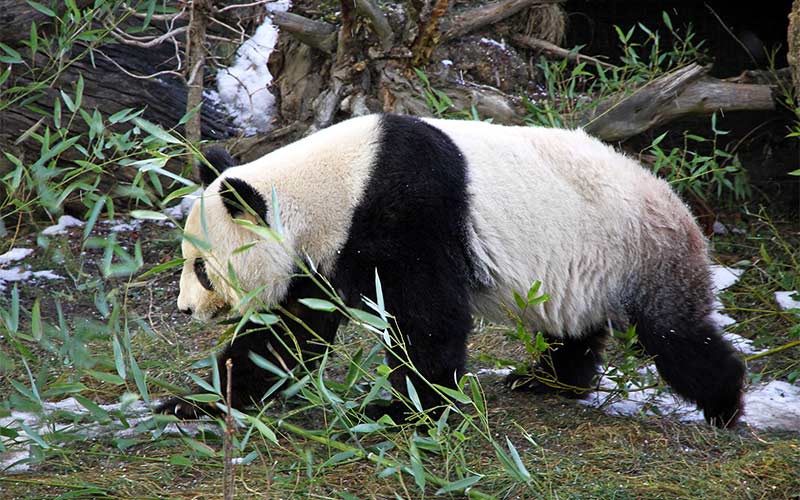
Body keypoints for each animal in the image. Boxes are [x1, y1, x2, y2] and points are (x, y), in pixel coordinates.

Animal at [159, 113, 745, 428]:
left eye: (202, 269)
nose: (185, 309)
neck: (334, 184)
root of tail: (678, 202)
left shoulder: (408, 211)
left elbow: (428, 320)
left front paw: (404, 411)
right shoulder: (320, 256)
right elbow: (287, 337)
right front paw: (192, 402)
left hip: (643, 252)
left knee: (676, 337)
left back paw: (725, 404)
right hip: (584, 269)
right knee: (574, 328)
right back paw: (546, 381)